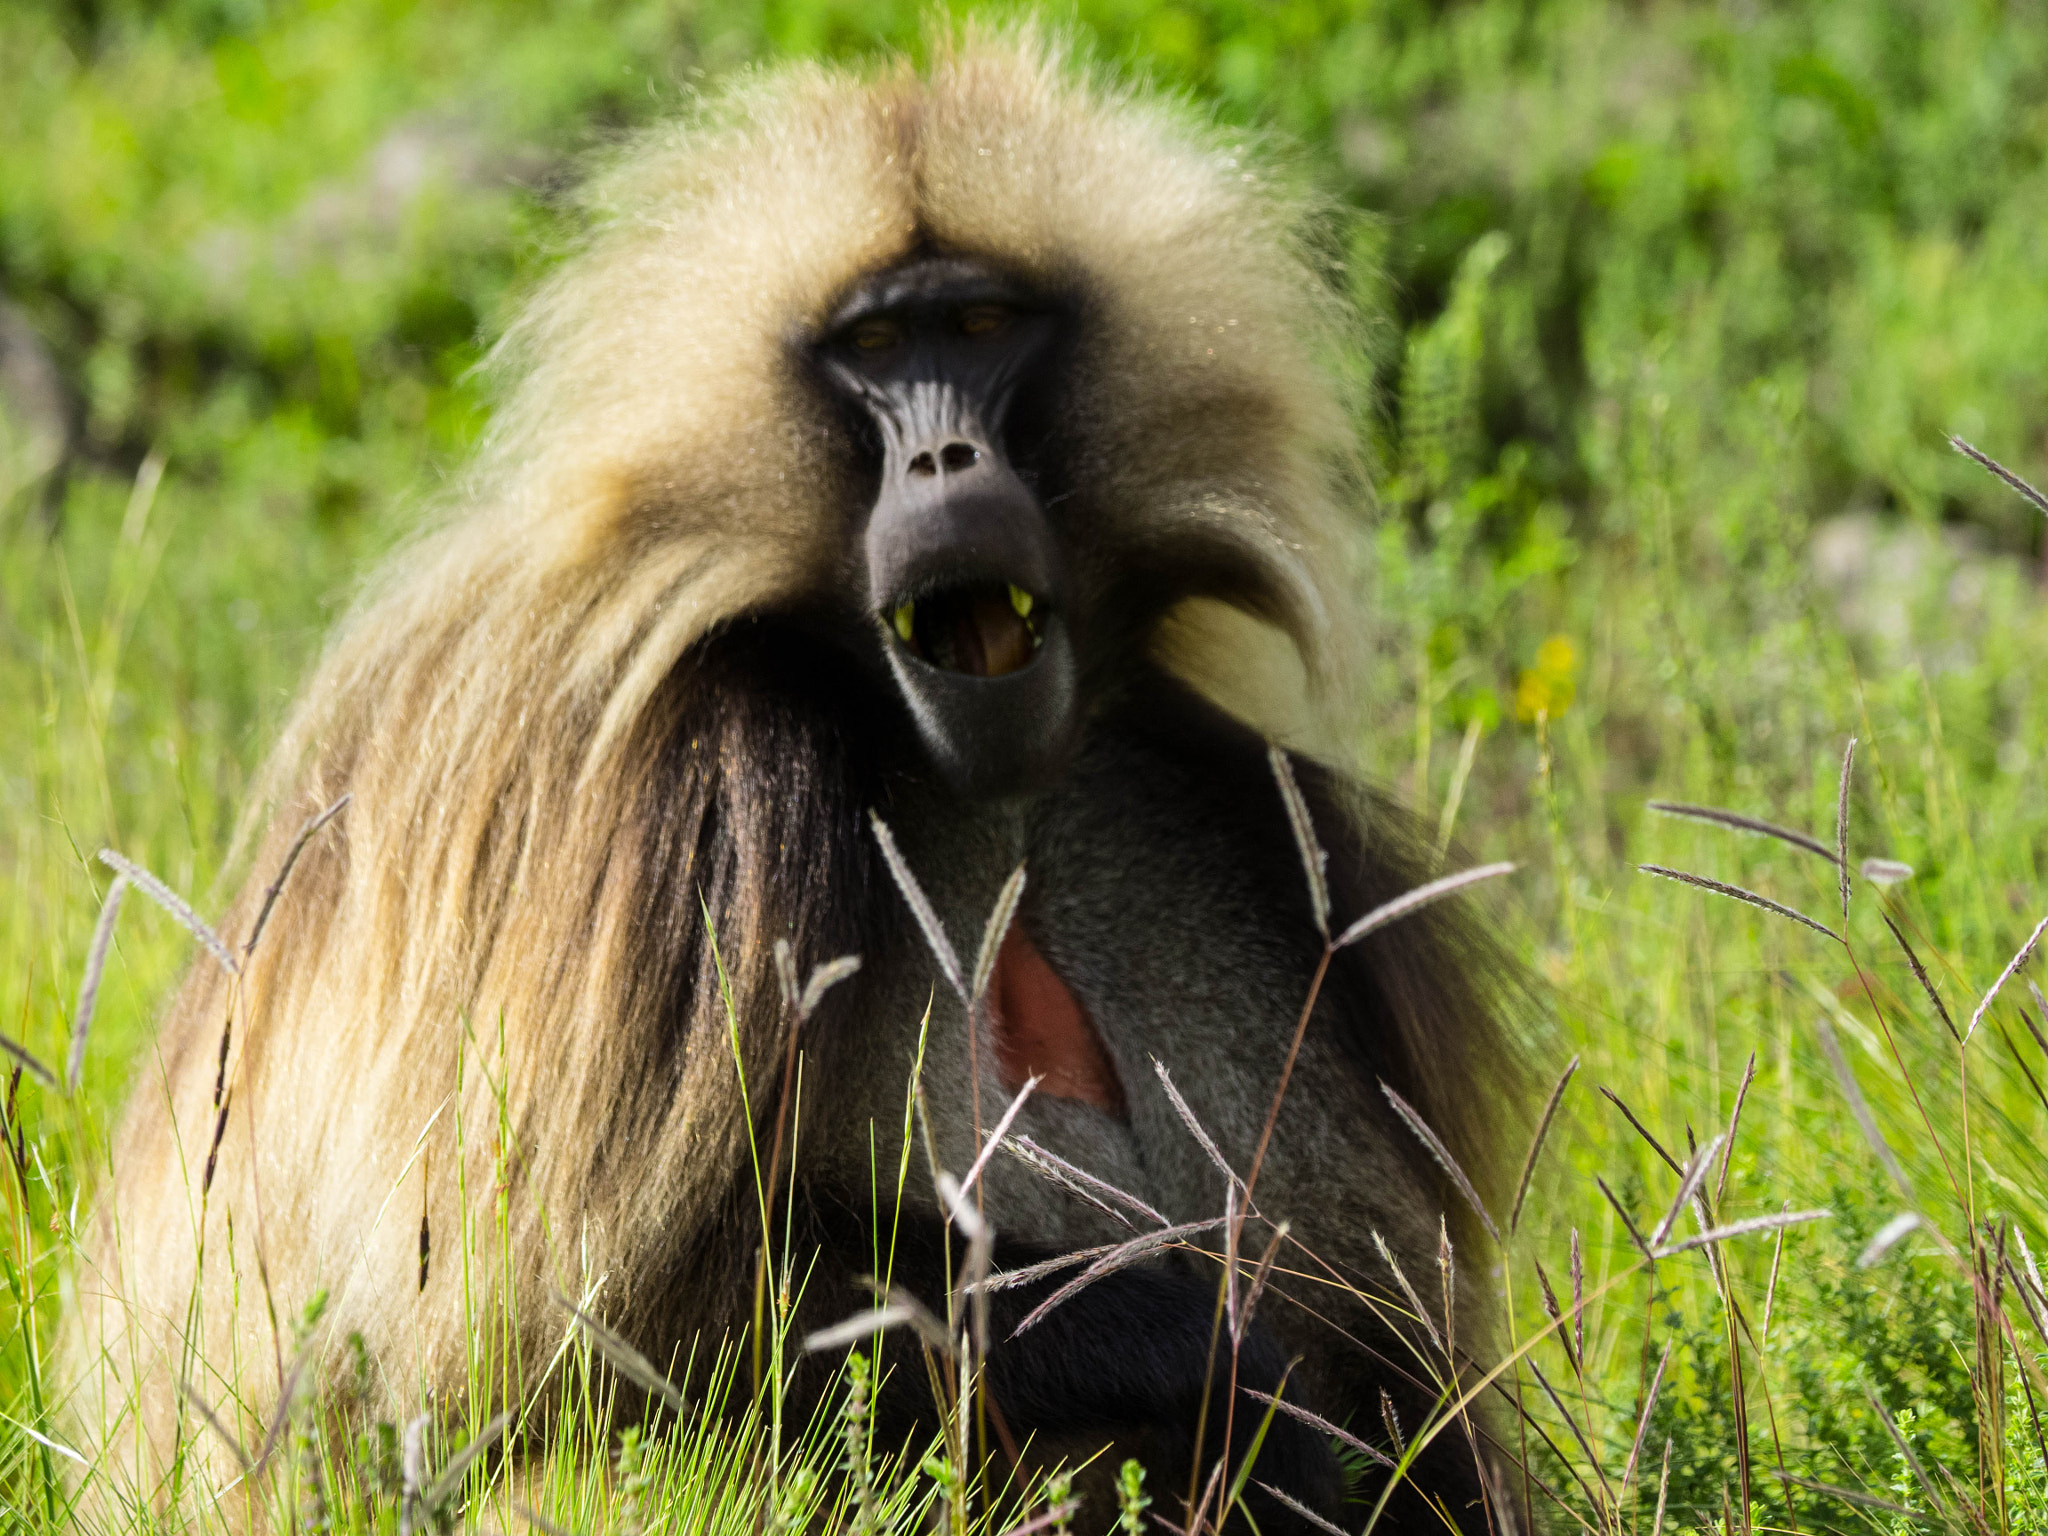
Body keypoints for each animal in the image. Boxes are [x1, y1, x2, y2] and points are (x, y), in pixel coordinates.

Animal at [62, 29, 1522, 1532]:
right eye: (872, 350)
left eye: (981, 328)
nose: (946, 458)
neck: (969, 784)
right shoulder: (664, 800)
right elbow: (506, 1331)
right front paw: (1191, 1363)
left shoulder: (1234, 822)